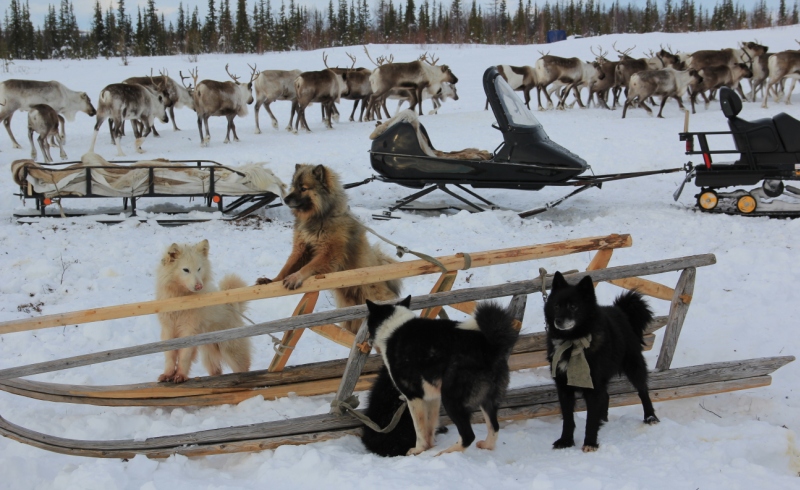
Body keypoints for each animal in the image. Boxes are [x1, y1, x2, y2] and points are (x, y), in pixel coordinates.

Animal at [157, 240, 253, 382]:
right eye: (186, 270)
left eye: (199, 269)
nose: (199, 286)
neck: (181, 299)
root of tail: (233, 307)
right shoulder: (168, 328)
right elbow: (170, 355)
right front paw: (168, 374)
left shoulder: (189, 329)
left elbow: (184, 355)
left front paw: (180, 375)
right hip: (208, 355)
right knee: (216, 371)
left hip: (230, 350)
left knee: (242, 367)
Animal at [258, 165, 400, 334]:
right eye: (293, 187)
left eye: (303, 188)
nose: (285, 199)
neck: (319, 217)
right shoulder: (301, 249)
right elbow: (287, 268)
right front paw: (272, 280)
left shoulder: (329, 253)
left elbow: (308, 267)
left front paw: (295, 277)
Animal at [364, 296, 516, 458]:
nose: (367, 342)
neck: (392, 326)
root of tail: (490, 347)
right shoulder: (432, 398)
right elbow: (429, 427)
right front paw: (428, 447)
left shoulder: (413, 397)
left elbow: (419, 429)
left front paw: (418, 450)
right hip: (487, 400)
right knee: (494, 427)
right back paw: (485, 446)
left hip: (451, 399)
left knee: (468, 436)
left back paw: (445, 453)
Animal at [544, 272, 664, 452]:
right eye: (557, 306)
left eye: (573, 306)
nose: (558, 321)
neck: (572, 342)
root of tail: (620, 310)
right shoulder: (564, 387)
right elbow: (568, 419)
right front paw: (565, 441)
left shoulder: (593, 386)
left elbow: (590, 420)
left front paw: (590, 443)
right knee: (606, 396)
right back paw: (603, 420)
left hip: (633, 367)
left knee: (643, 390)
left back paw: (650, 417)